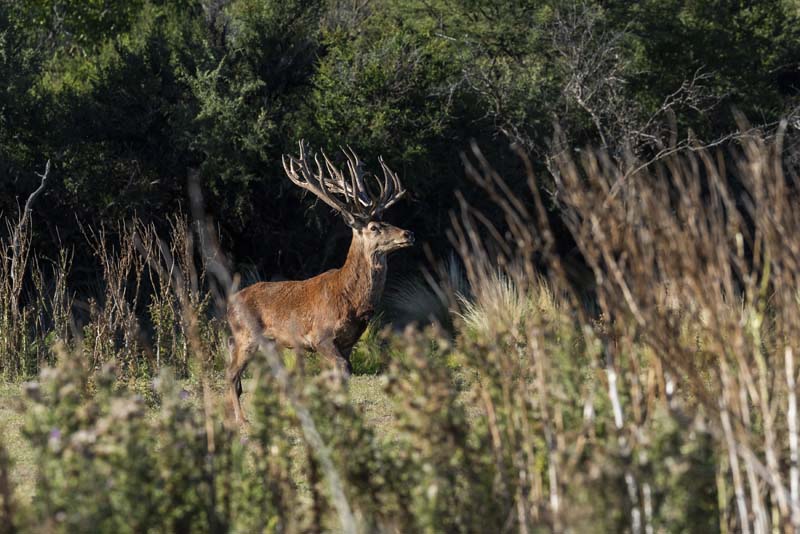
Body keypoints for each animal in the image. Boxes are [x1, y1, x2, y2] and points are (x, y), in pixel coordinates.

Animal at [226, 141, 414, 423]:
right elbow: (342, 369)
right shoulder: (320, 336)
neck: (351, 300)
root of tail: (228, 305)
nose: (408, 233)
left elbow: (344, 373)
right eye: (374, 227)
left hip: (267, 342)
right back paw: (242, 421)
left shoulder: (348, 341)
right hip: (245, 334)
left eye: (386, 220)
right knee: (232, 374)